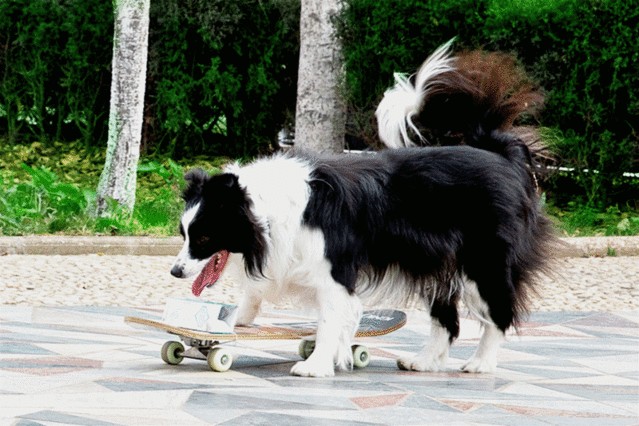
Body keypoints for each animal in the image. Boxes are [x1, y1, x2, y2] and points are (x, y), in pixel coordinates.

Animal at [170, 41, 556, 378]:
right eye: (183, 233)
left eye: (202, 237)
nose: (175, 271)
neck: (262, 205)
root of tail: (499, 153)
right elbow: (258, 289)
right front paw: (235, 322)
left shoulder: (332, 264)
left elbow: (331, 316)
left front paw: (316, 365)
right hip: (435, 258)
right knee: (446, 315)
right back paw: (423, 361)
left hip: (484, 258)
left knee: (498, 310)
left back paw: (480, 363)